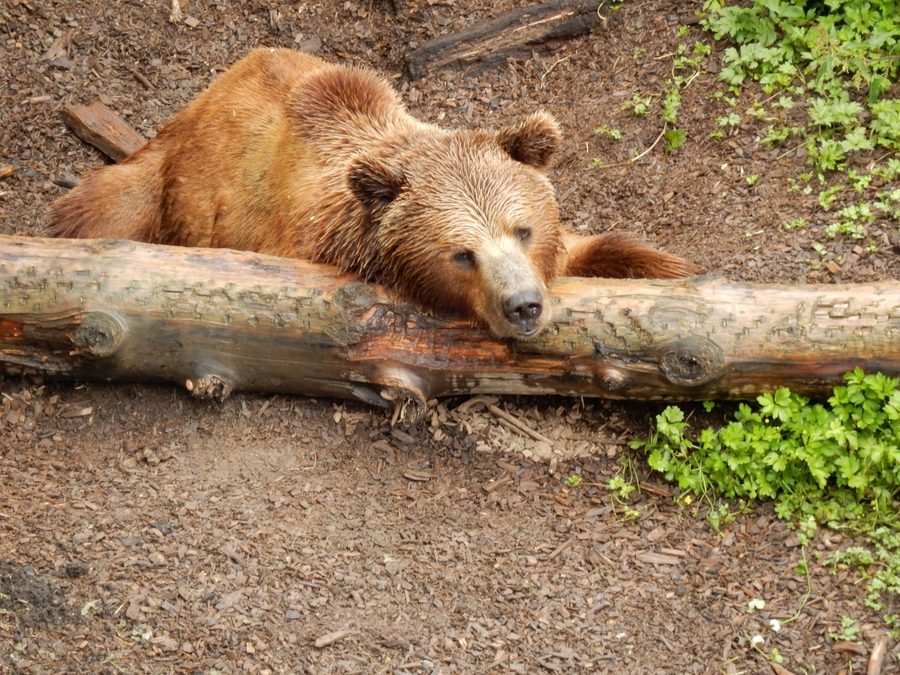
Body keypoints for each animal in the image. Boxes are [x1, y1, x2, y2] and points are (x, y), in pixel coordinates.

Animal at [50, 48, 698, 338]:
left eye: (524, 229)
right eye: (461, 254)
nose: (523, 306)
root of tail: (191, 112)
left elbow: (610, 249)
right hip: (193, 198)